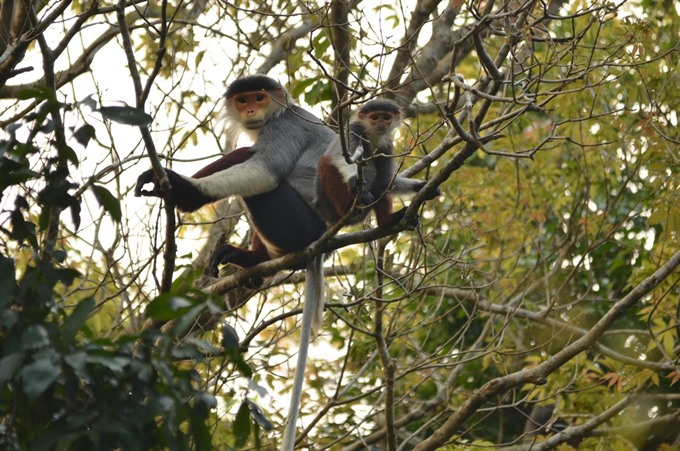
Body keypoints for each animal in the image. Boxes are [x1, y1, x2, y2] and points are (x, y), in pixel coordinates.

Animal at [314, 98, 436, 228]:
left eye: (386, 117)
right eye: (374, 117)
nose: (381, 124)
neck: (372, 136)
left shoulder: (386, 146)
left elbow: (385, 181)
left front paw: (421, 186)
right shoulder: (353, 130)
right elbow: (341, 158)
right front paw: (353, 179)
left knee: (379, 186)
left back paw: (387, 220)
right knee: (324, 162)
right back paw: (348, 205)